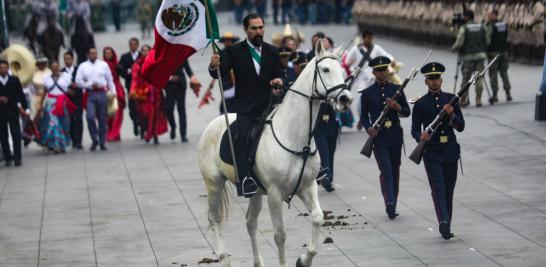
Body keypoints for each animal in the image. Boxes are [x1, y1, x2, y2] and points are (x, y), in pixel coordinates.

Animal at [197, 40, 352, 267]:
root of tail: (213, 124)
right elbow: (280, 235)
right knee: (214, 219)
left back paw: (258, 262)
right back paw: (224, 258)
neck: (294, 137)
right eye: (325, 69)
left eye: (342, 70)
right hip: (214, 183)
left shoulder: (307, 186)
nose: (346, 99)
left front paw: (304, 260)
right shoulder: (275, 193)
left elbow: (317, 217)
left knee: (250, 222)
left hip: (255, 193)